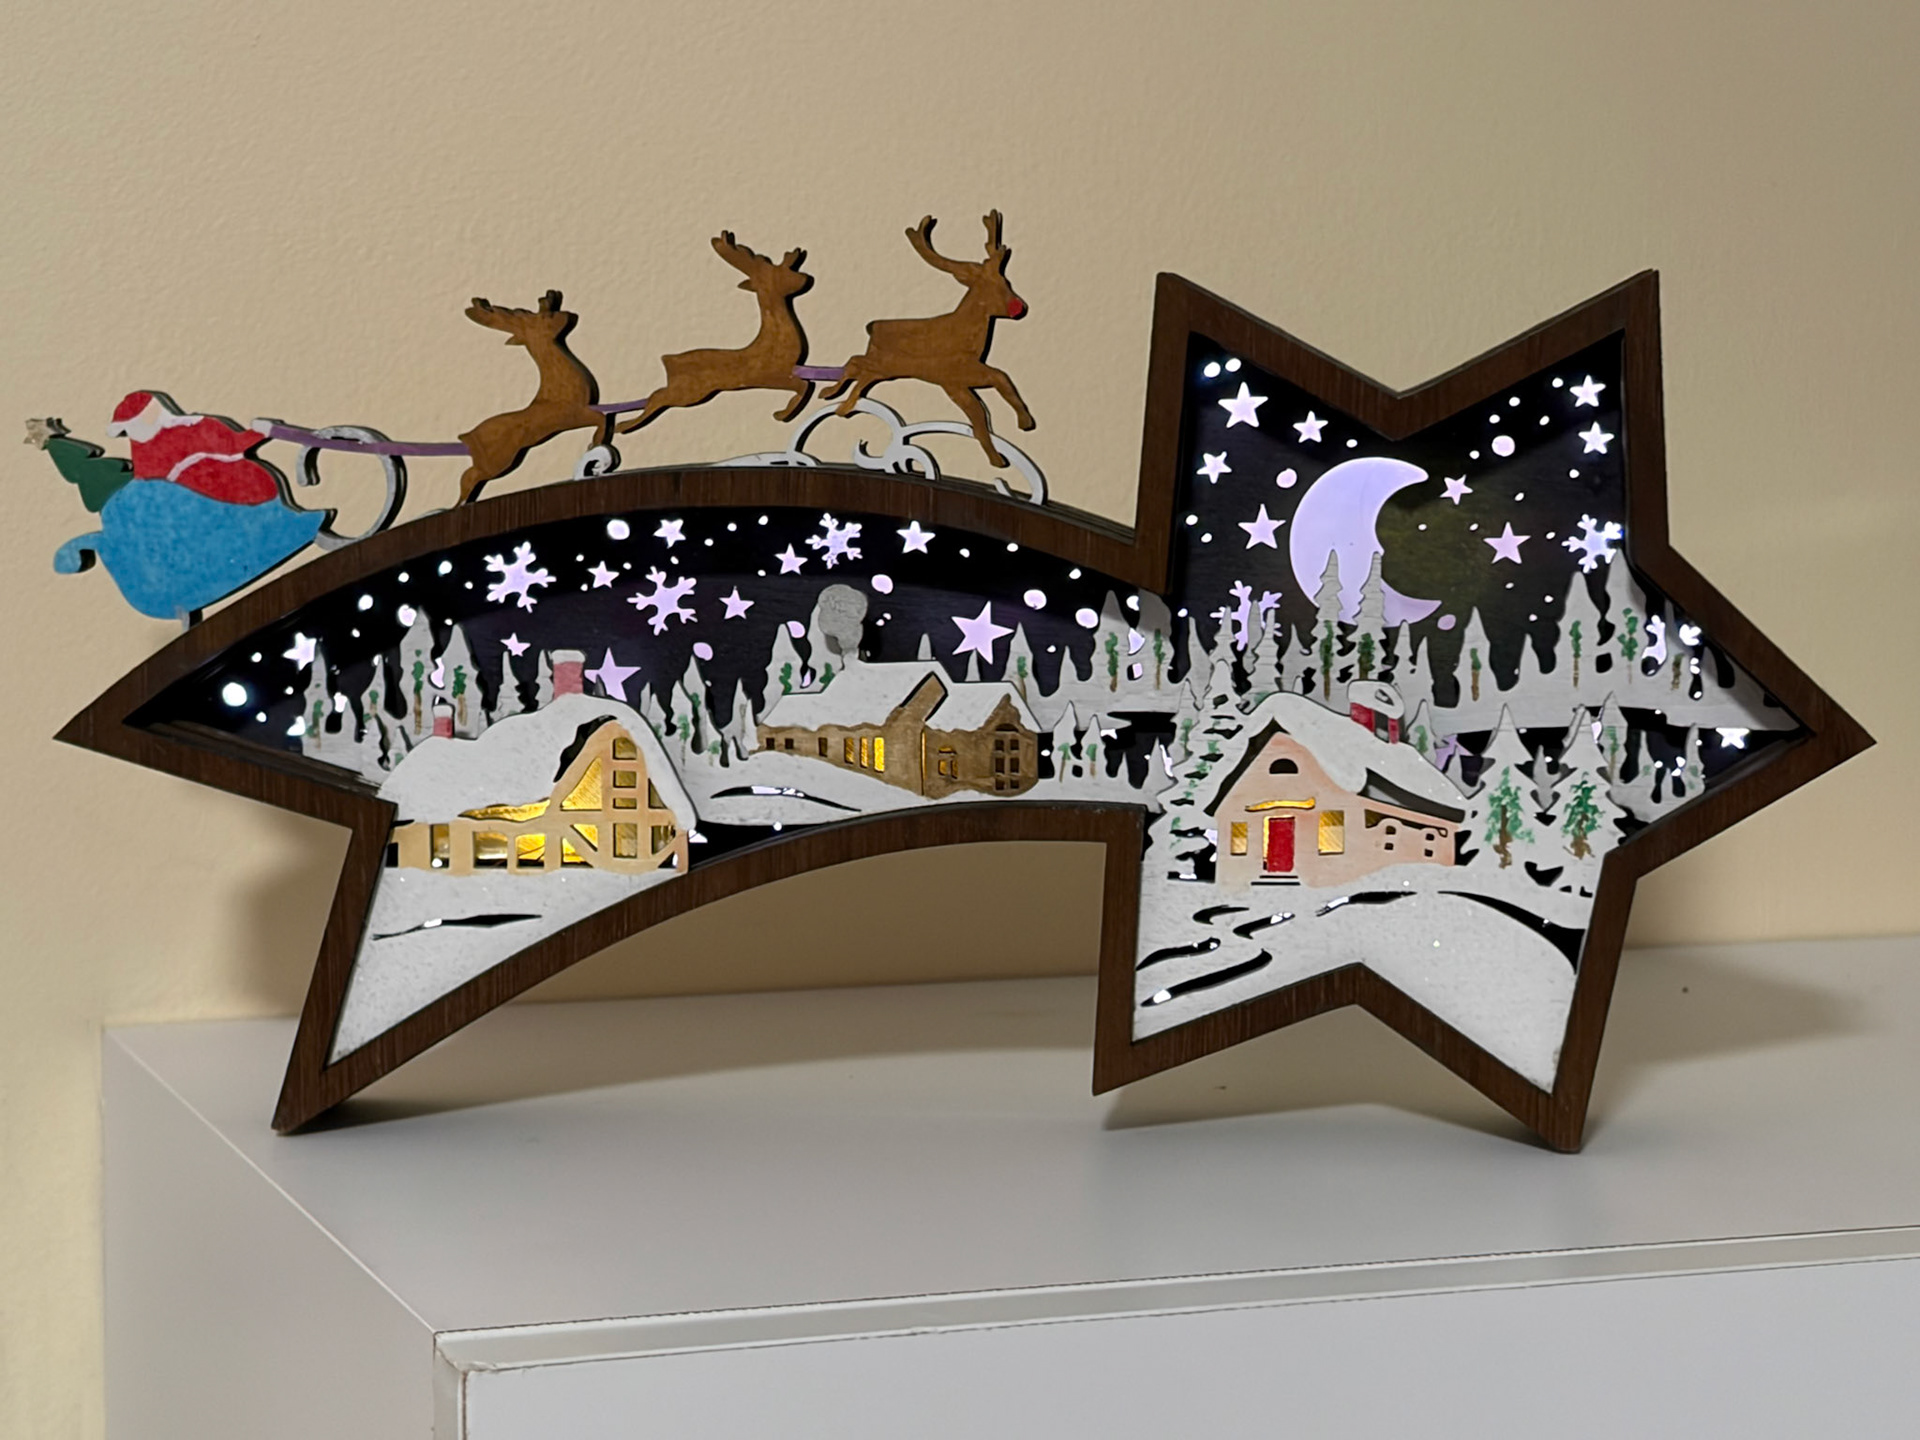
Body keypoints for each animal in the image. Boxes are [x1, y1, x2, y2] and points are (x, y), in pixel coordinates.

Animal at [457, 290, 610, 504]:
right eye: (545, 318)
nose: (566, 314)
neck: (558, 383)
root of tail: (468, 436)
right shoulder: (573, 415)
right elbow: (601, 418)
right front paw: (594, 443)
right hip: (498, 461)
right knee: (470, 475)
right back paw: (460, 503)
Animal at [616, 234, 815, 435]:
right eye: (777, 272)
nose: (805, 277)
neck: (774, 339)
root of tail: (668, 360)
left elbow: (803, 385)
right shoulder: (770, 375)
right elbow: (803, 386)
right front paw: (781, 414)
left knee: (655, 395)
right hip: (689, 392)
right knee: (657, 397)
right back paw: (624, 425)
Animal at [821, 211, 1034, 469]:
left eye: (1006, 282)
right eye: (987, 287)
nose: (1018, 307)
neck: (966, 335)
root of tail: (872, 326)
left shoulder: (964, 373)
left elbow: (1002, 379)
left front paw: (1024, 421)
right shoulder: (952, 377)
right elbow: (980, 412)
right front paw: (997, 459)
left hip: (885, 368)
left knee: (858, 371)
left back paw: (840, 402)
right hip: (886, 363)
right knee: (854, 363)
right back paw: (836, 399)